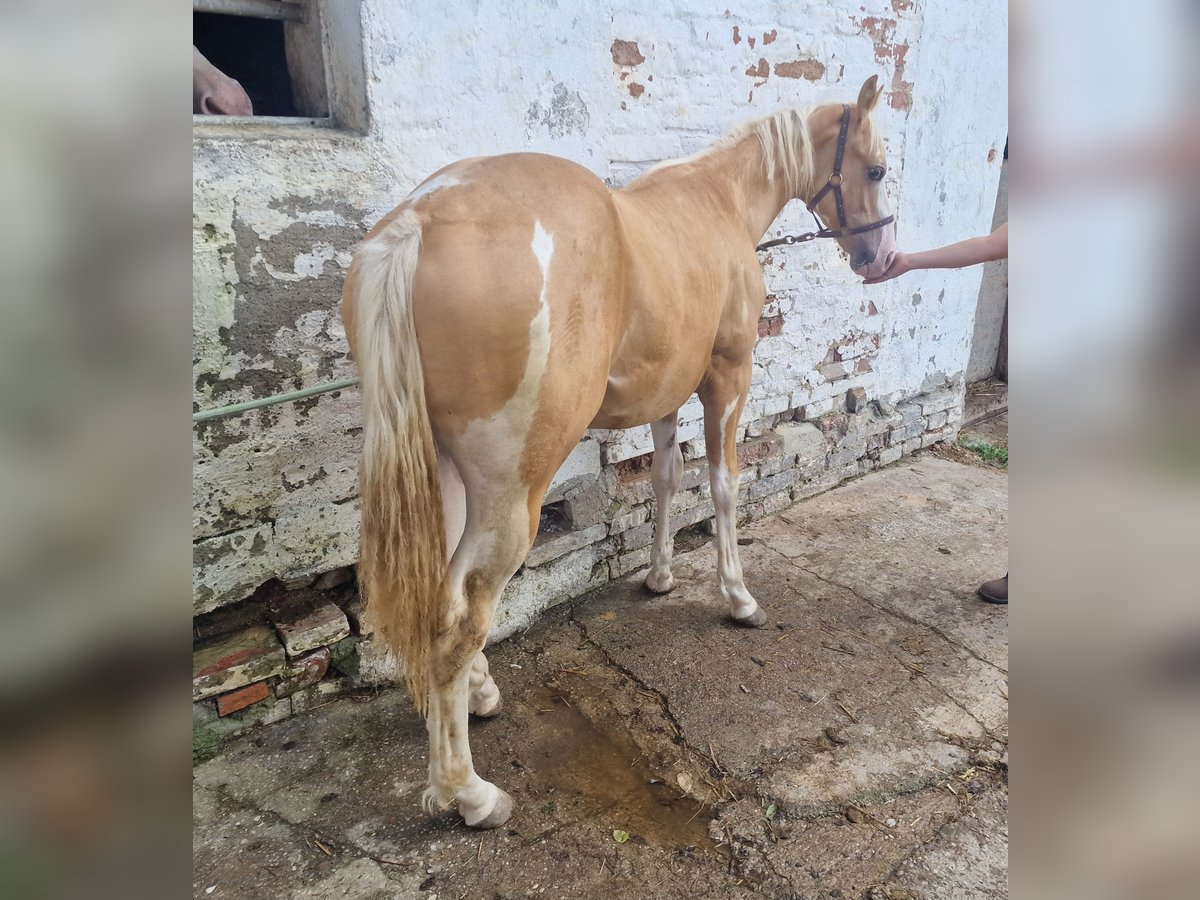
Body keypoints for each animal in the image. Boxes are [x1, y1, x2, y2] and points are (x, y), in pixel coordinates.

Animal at [343, 77, 897, 830]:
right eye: (877, 170)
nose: (881, 257)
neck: (717, 200)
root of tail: (418, 222)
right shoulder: (728, 377)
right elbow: (722, 484)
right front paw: (737, 596)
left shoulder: (667, 391)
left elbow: (664, 479)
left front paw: (660, 575)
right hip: (512, 491)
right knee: (462, 615)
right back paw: (469, 792)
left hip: (449, 473)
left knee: (446, 594)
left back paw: (477, 696)